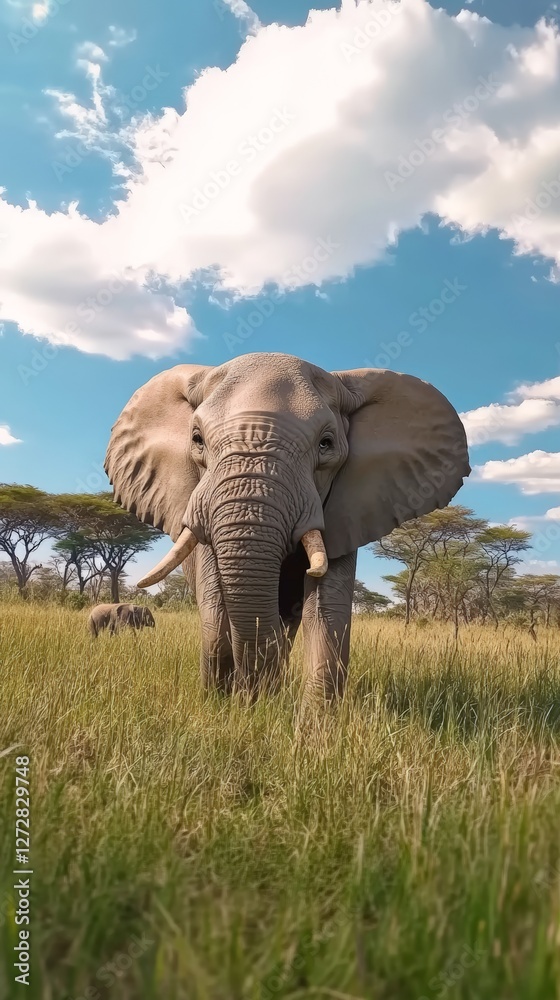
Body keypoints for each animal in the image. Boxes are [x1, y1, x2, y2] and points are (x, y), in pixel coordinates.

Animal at [104, 352, 469, 700]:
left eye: (326, 443)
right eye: (197, 439)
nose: (252, 701)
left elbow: (326, 612)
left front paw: (309, 722)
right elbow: (216, 613)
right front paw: (222, 706)